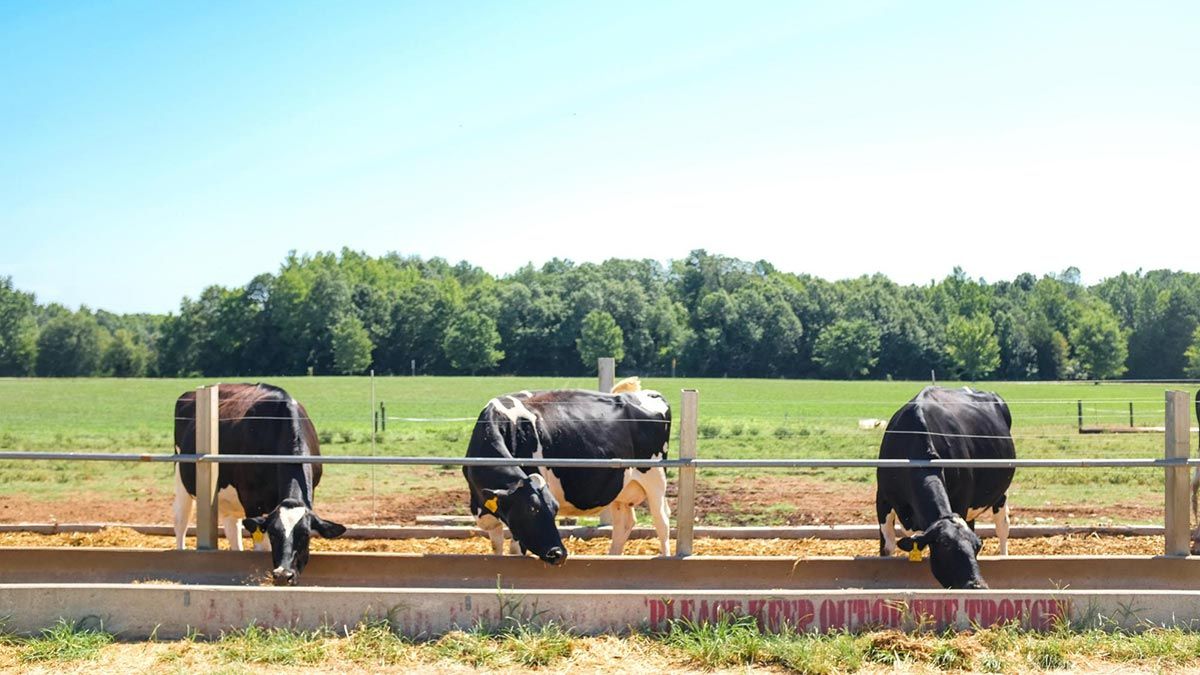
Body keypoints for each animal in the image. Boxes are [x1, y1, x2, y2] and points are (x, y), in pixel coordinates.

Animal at [172, 384, 348, 583]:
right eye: (273, 534)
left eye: (305, 535)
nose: (283, 574)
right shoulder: (252, 502)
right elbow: (261, 547)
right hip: (182, 478)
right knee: (181, 520)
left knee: (232, 527)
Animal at [460, 379, 672, 562]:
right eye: (531, 510)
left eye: (555, 510)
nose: (558, 553)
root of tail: (647, 394)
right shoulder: (488, 512)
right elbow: (497, 549)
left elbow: (515, 550)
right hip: (621, 488)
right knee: (624, 524)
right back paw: (613, 557)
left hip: (655, 477)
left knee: (662, 521)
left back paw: (666, 557)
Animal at [873, 386, 1012, 586]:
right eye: (946, 546)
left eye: (977, 547)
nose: (976, 585)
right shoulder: (882, 499)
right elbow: (887, 546)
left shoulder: (961, 499)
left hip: (1001, 493)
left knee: (1002, 527)